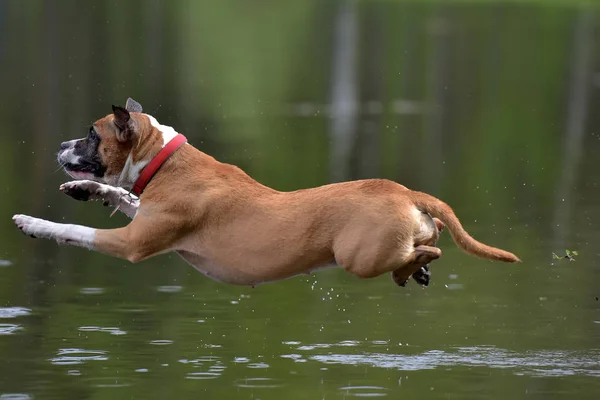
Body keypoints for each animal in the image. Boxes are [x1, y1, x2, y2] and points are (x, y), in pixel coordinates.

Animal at [12, 99, 520, 288]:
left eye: (90, 135)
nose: (61, 146)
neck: (164, 161)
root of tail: (406, 191)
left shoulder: (133, 243)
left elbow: (74, 231)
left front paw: (33, 223)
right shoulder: (144, 214)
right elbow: (120, 197)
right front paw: (84, 188)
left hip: (360, 257)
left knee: (429, 247)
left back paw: (413, 268)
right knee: (429, 242)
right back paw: (416, 271)